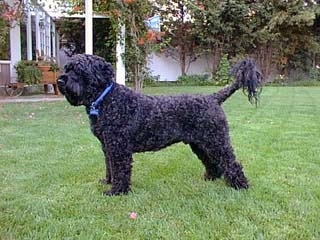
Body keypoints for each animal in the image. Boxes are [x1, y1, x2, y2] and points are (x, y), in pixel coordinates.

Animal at [57, 54, 262, 195]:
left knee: (232, 163)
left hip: (216, 141)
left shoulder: (119, 148)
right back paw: (210, 177)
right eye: (67, 68)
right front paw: (108, 182)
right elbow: (110, 167)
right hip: (201, 144)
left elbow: (121, 169)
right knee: (214, 163)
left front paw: (117, 191)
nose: (60, 80)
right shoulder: (108, 146)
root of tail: (212, 98)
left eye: (79, 70)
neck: (107, 99)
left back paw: (241, 185)